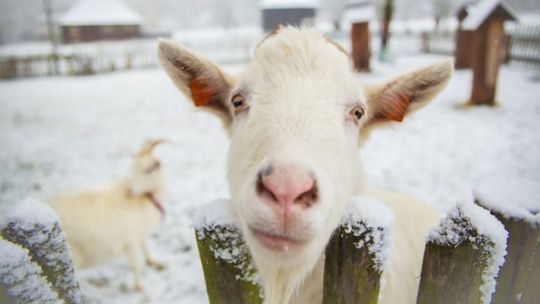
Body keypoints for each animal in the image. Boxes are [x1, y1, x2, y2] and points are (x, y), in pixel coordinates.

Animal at [47, 139, 166, 290]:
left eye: (148, 170)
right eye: (132, 168)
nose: (130, 191)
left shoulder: (140, 234)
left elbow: (145, 247)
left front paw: (151, 261)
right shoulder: (130, 242)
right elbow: (137, 265)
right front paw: (139, 287)